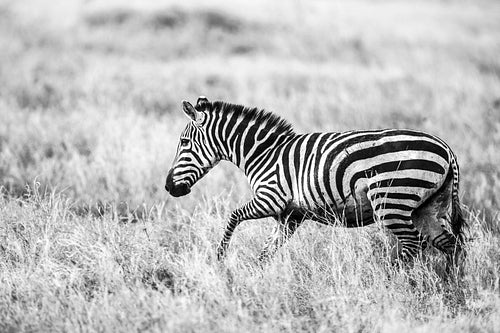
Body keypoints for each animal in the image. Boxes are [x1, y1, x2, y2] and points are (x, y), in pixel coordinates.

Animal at [166, 96, 466, 264]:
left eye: (184, 143)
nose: (169, 187)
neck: (263, 153)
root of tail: (447, 150)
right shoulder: (289, 216)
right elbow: (266, 252)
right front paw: (253, 280)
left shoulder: (270, 198)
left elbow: (232, 216)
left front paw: (220, 258)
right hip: (428, 206)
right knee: (450, 244)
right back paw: (453, 286)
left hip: (393, 201)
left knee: (413, 244)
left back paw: (395, 281)